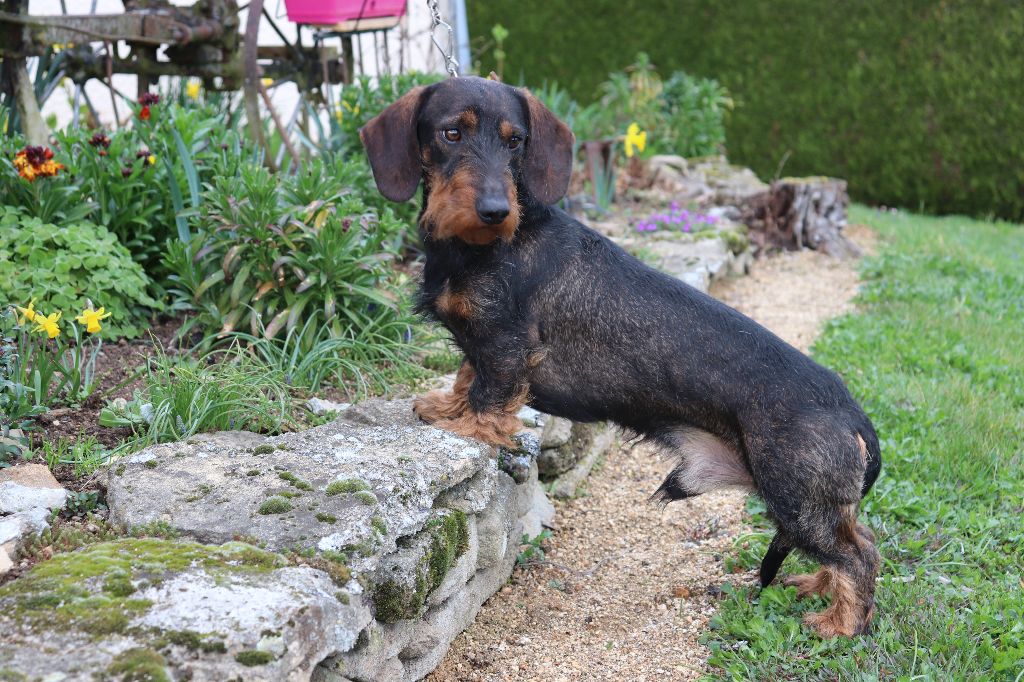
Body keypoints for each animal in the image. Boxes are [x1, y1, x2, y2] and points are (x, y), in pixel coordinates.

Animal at [360, 76, 880, 634]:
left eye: (515, 140)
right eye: (451, 133)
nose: (495, 211)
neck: (491, 243)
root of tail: (854, 417)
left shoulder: (507, 343)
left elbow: (490, 389)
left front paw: (467, 427)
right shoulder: (483, 343)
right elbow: (467, 373)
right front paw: (448, 406)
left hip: (797, 501)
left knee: (857, 556)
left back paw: (839, 624)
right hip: (811, 506)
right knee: (860, 540)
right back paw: (819, 589)